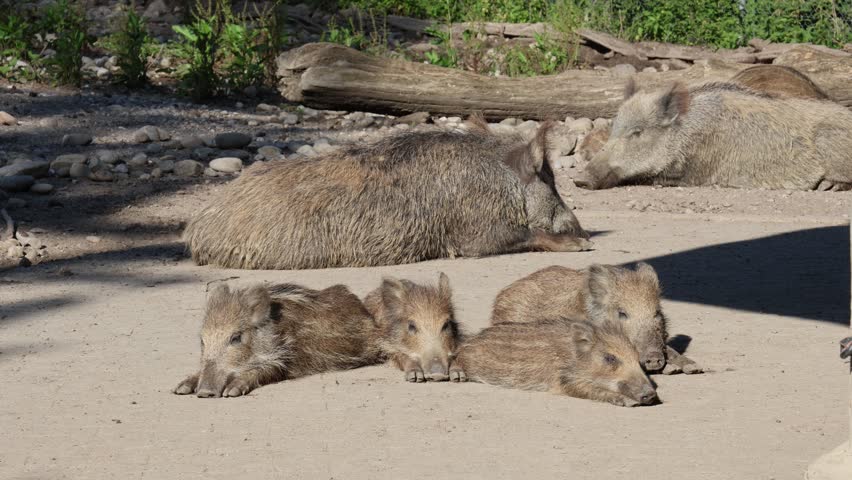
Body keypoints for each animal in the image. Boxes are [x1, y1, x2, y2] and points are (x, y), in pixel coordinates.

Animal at [173, 283, 384, 398]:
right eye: (202, 341)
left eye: (236, 338)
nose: (204, 393)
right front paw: (180, 388)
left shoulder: (284, 362)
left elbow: (262, 370)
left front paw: (231, 392)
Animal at [184, 120, 591, 270]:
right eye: (549, 180)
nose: (584, 230)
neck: (500, 180)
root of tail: (196, 227)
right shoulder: (473, 235)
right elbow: (528, 235)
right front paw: (582, 248)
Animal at [453, 318, 658, 407]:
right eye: (610, 358)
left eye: (638, 359)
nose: (650, 394)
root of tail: (471, 339)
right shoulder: (563, 379)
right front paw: (629, 402)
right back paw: (457, 376)